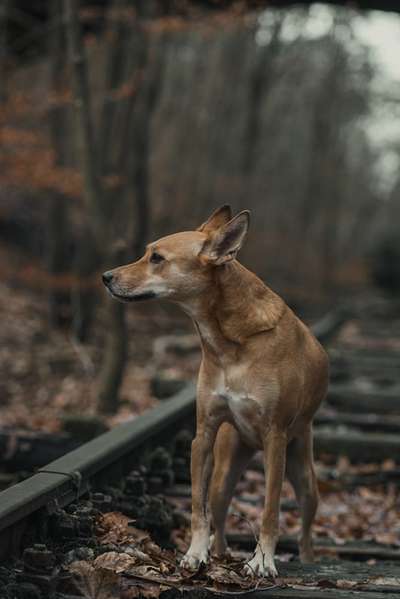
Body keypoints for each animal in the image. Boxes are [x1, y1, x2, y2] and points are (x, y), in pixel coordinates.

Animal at [102, 206, 328, 576]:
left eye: (157, 258)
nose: (106, 277)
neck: (229, 341)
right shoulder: (204, 435)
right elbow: (198, 505)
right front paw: (195, 553)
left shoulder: (275, 439)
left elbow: (270, 510)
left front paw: (262, 559)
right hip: (226, 465)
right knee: (219, 511)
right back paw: (219, 553)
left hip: (303, 474)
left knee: (306, 530)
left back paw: (306, 559)